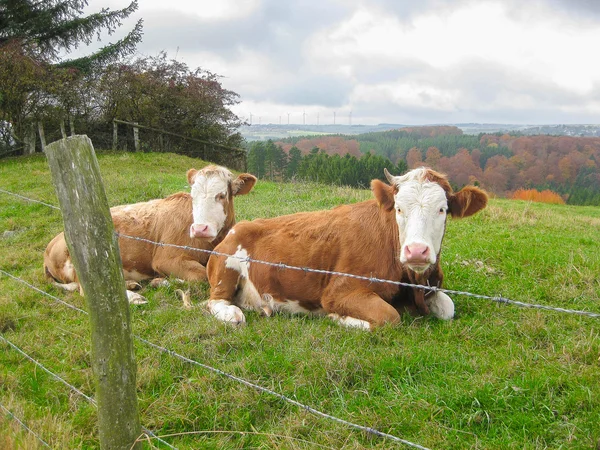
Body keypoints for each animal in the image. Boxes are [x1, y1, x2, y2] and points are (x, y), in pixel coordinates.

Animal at [44, 164, 255, 302]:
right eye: (193, 196)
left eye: (222, 195)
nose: (199, 229)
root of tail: (51, 244)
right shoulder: (165, 258)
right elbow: (201, 276)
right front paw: (163, 282)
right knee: (85, 290)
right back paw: (133, 296)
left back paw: (130, 285)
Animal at [205, 167, 488, 328]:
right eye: (399, 208)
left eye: (443, 210)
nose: (416, 251)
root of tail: (239, 226)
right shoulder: (339, 292)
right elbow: (389, 317)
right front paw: (338, 318)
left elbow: (448, 308)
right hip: (226, 269)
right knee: (214, 301)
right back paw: (232, 314)